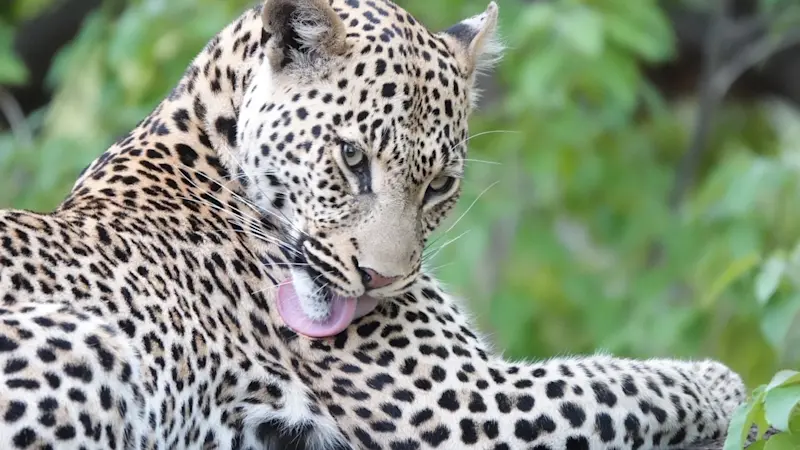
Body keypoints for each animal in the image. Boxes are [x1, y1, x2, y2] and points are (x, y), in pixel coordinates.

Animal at [0, 0, 753, 449]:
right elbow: (619, 383)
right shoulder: (468, 403)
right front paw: (721, 382)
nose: (380, 280)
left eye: (440, 185)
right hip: (88, 340)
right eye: (352, 157)